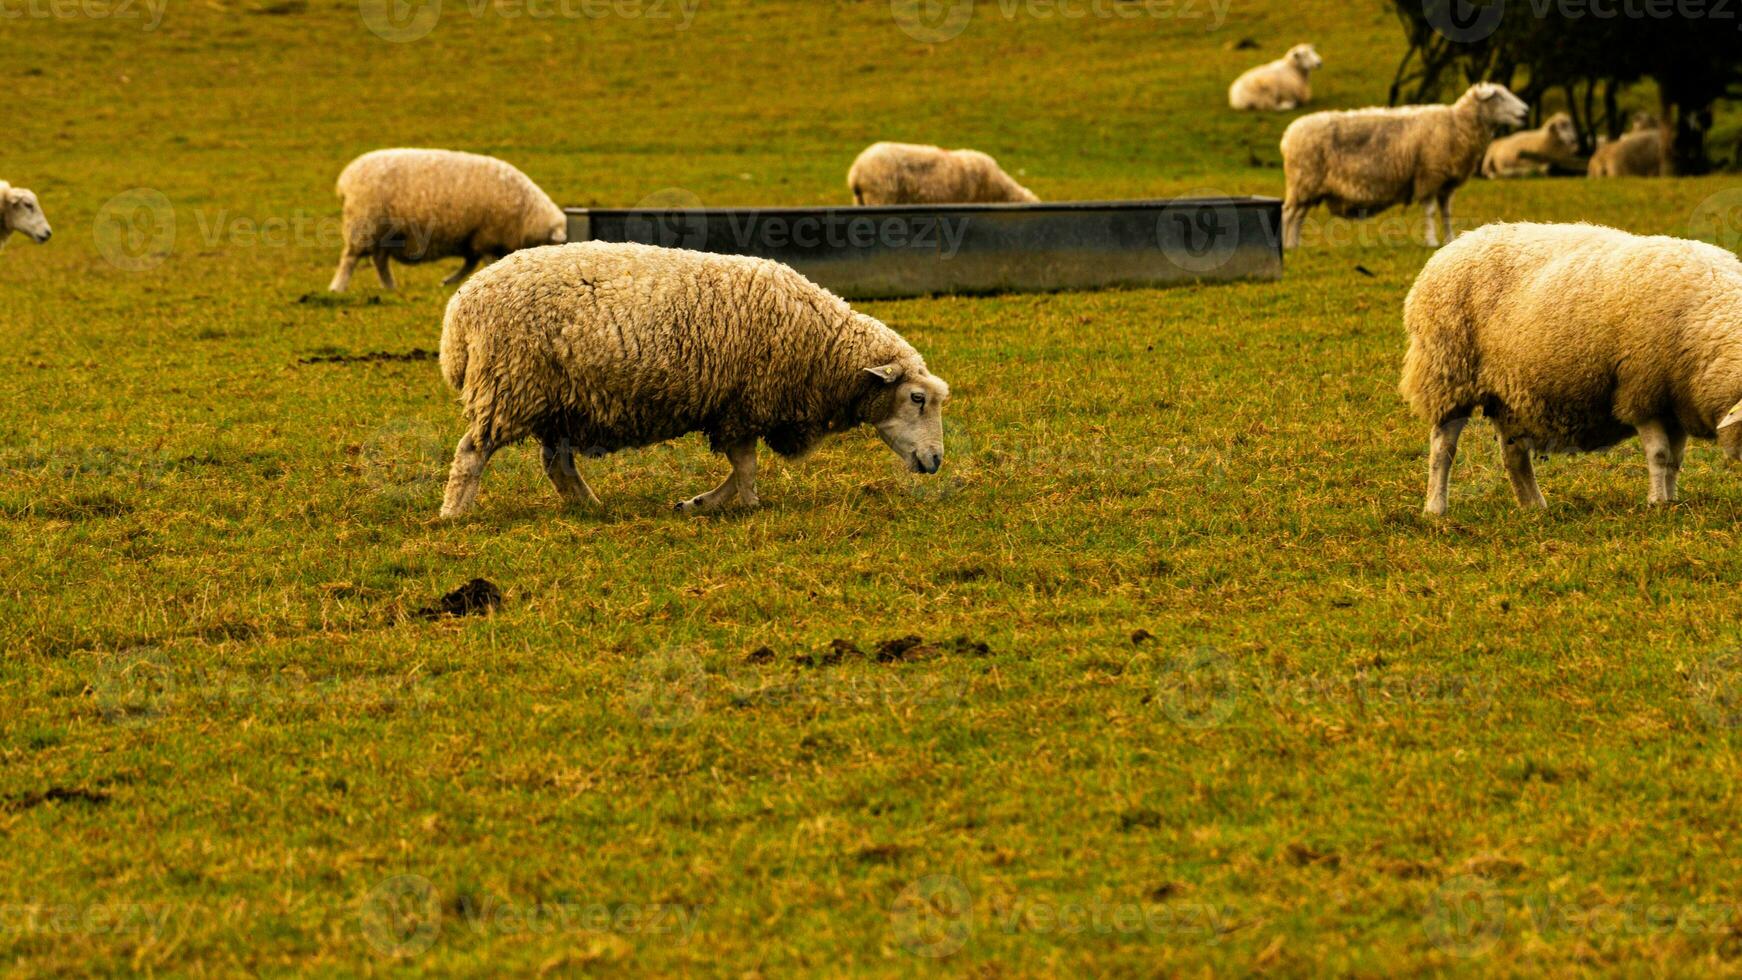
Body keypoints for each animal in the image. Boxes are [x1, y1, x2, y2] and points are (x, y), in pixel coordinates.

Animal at [327, 145, 564, 290]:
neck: (528, 213)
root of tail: (346, 179)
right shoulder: (487, 237)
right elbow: (485, 262)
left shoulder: (474, 238)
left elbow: (469, 263)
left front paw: (448, 281)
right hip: (363, 224)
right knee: (350, 258)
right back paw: (338, 287)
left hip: (385, 233)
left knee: (380, 261)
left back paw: (389, 287)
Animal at [435, 243, 954, 522]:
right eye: (917, 398)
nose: (935, 461)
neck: (823, 347)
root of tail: (459, 311)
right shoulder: (746, 404)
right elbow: (746, 469)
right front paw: (746, 505)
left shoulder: (734, 409)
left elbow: (739, 468)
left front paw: (699, 503)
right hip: (510, 385)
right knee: (472, 452)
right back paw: (454, 513)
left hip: (559, 401)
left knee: (557, 464)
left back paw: (591, 507)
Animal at [1275, 82, 1532, 248]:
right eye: (1498, 96)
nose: (1526, 112)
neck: (1457, 124)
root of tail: (1288, 135)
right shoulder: (1428, 175)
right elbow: (1430, 211)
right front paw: (1431, 241)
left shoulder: (1445, 183)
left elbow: (1446, 213)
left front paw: (1450, 240)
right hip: (1303, 180)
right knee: (1288, 213)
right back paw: (1288, 246)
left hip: (1308, 185)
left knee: (1298, 215)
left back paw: (1294, 243)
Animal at [1393, 221, 1742, 515]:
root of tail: (1456, 244)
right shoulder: (1641, 393)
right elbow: (1659, 455)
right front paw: (1657, 503)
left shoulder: (1674, 401)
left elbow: (1674, 460)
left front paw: (1671, 501)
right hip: (1448, 374)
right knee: (1443, 447)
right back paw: (1435, 508)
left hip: (1508, 393)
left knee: (1513, 454)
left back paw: (1533, 506)